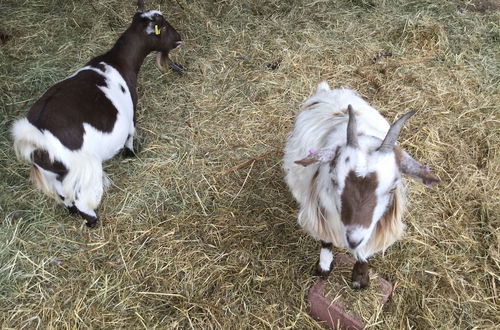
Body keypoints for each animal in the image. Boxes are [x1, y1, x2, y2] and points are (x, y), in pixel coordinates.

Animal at [284, 82, 440, 288]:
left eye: (392, 187)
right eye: (334, 180)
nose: (353, 240)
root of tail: (327, 91)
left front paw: (360, 277)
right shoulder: (321, 209)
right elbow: (326, 240)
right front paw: (324, 267)